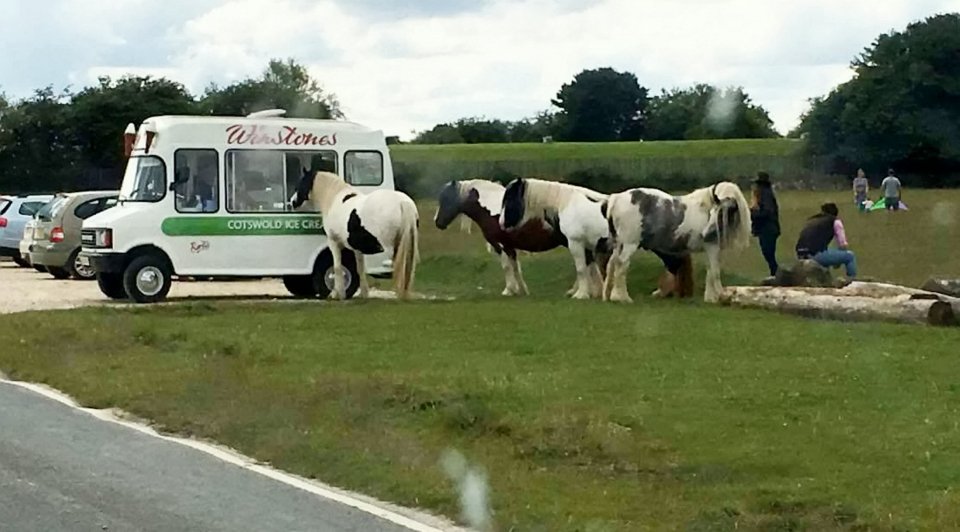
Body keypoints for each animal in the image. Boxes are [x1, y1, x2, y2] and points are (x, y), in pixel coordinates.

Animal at [286, 170, 418, 300]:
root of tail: (403, 202)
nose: (292, 202)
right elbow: (360, 268)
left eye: (301, 183)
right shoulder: (357, 247)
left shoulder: (333, 242)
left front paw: (337, 294)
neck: (334, 198)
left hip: (390, 246)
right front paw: (363, 294)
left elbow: (337, 267)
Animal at [604, 182, 752, 304]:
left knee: (611, 264)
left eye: (721, 213)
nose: (705, 234)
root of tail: (616, 199)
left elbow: (710, 270)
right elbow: (714, 272)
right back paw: (622, 297)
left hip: (618, 244)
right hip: (629, 244)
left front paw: (711, 297)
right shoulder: (712, 247)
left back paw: (608, 296)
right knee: (621, 266)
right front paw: (717, 297)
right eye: (713, 212)